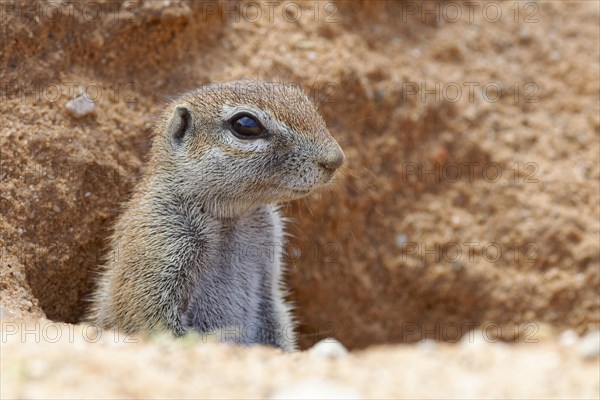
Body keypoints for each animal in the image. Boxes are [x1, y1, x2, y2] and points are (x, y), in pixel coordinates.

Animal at [86, 80, 344, 350]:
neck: (230, 217)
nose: (335, 159)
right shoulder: (158, 245)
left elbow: (275, 315)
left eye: (304, 102)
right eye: (245, 124)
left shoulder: (269, 269)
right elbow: (151, 318)